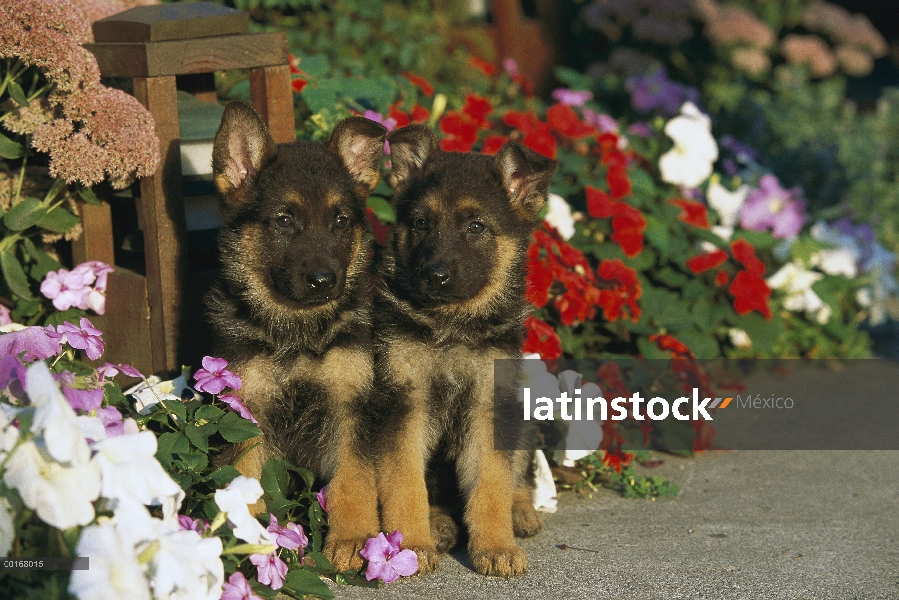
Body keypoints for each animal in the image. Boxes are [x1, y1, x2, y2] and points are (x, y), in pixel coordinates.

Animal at [209, 103, 388, 572]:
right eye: (285, 221)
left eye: (341, 221)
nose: (325, 281)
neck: (299, 330)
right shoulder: (247, 411)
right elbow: (247, 480)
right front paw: (250, 541)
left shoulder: (350, 407)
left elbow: (353, 480)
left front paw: (353, 539)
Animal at [368, 125, 556, 576]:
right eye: (421, 223)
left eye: (475, 226)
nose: (434, 276)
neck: (451, 324)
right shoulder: (402, 404)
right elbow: (404, 481)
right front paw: (411, 545)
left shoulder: (490, 404)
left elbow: (491, 481)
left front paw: (496, 546)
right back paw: (438, 525)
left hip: (520, 412)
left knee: (517, 473)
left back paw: (520, 511)